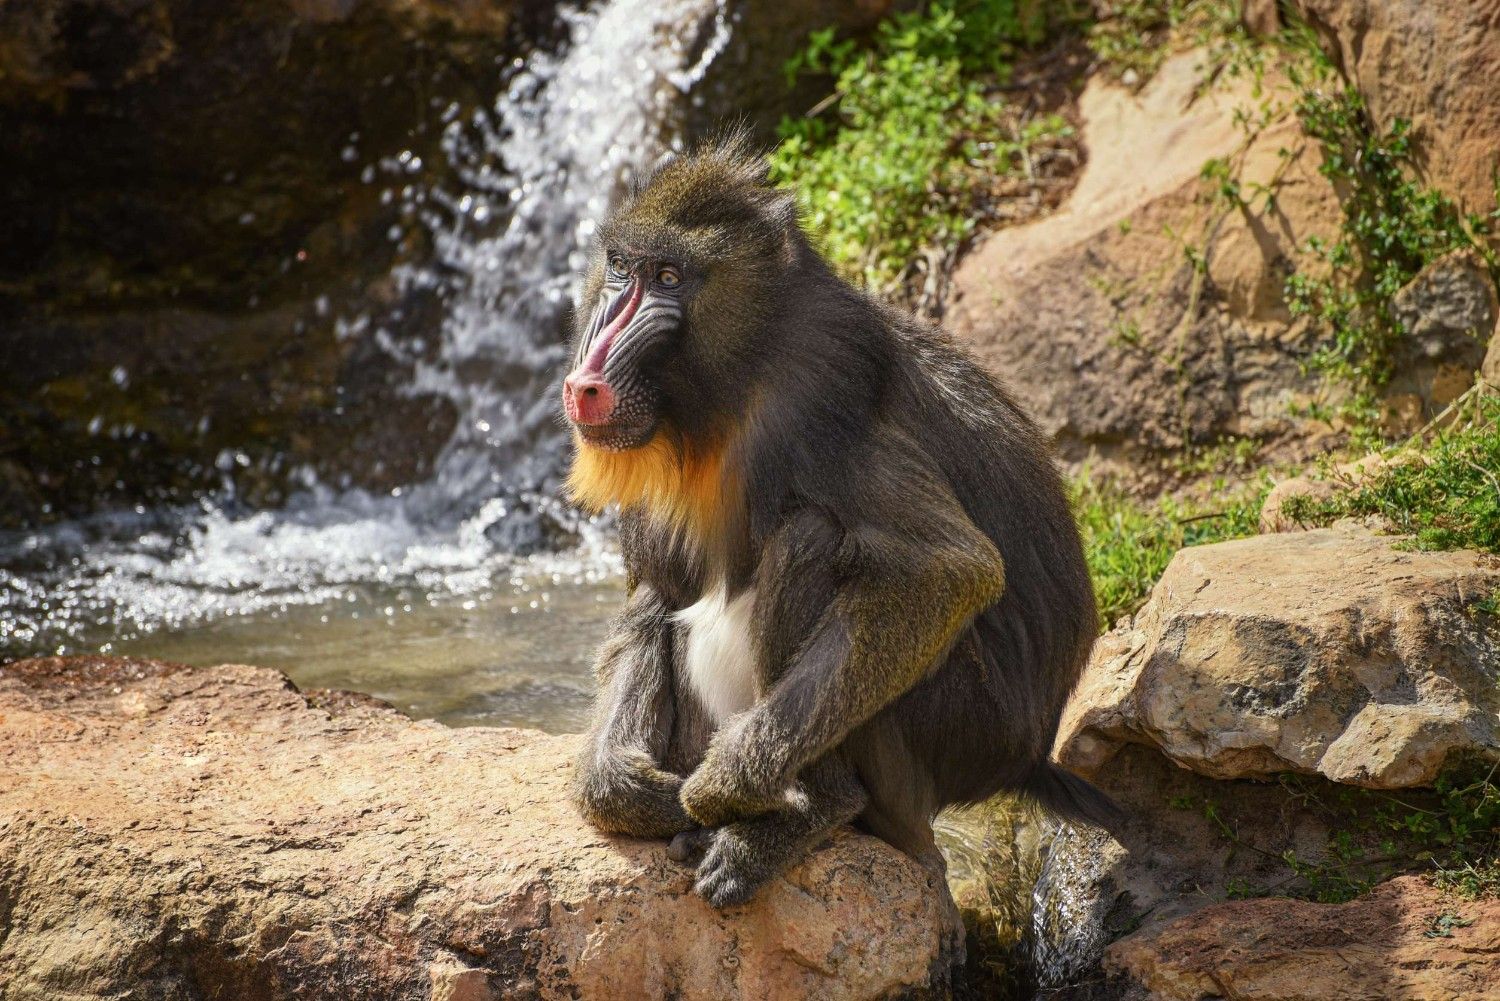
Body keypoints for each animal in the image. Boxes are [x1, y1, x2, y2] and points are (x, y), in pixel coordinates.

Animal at [563, 132, 1121, 909]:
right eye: (621, 268)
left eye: (669, 276)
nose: (587, 379)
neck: (736, 382)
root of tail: (1023, 760)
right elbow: (655, 592)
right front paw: (624, 786)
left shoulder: (825, 397)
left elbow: (950, 569)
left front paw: (720, 787)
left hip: (943, 734)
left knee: (813, 540)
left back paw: (807, 811)